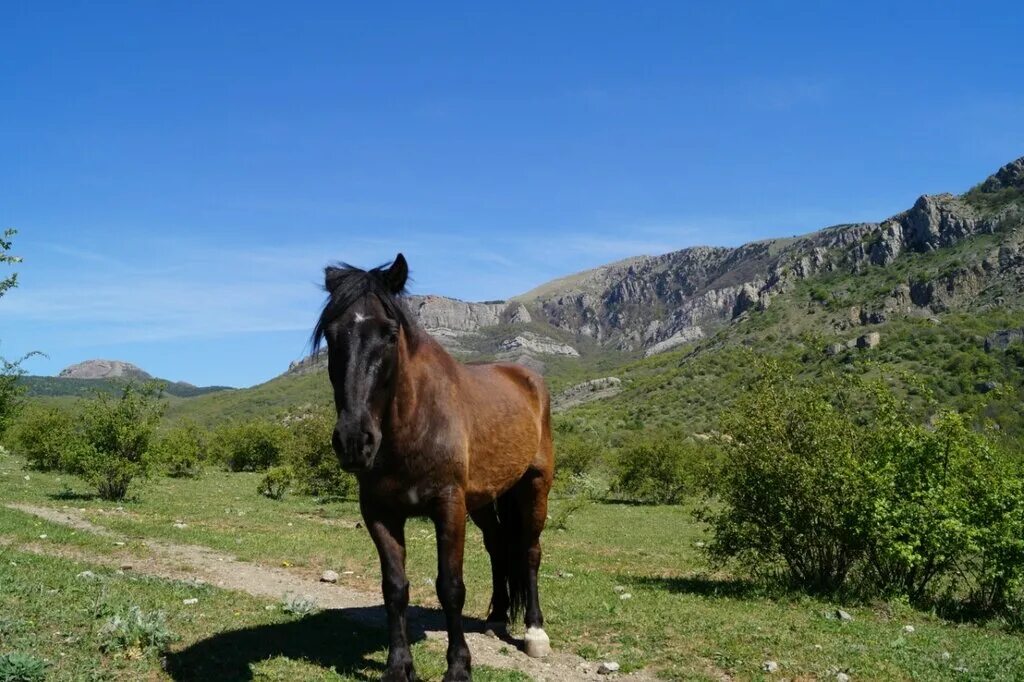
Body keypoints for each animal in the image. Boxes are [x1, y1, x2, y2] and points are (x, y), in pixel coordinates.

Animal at [311, 251, 557, 675]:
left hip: (535, 486)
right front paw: (399, 666)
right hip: (485, 498)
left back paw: (534, 632)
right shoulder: (379, 512)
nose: (354, 441)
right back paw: (497, 619)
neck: (414, 422)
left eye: (390, 334)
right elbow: (395, 588)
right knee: (498, 546)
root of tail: (528, 379)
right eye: (330, 333)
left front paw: (458, 667)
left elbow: (451, 587)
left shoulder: (448, 506)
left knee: (529, 550)